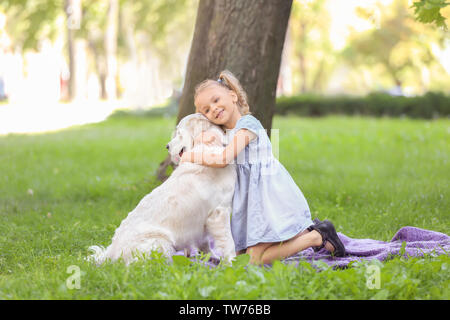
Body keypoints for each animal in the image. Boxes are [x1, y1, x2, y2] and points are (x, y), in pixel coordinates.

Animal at [86, 112, 237, 264]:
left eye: (179, 134)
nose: (167, 146)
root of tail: (111, 253)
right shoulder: (219, 212)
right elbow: (229, 243)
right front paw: (232, 263)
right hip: (160, 242)